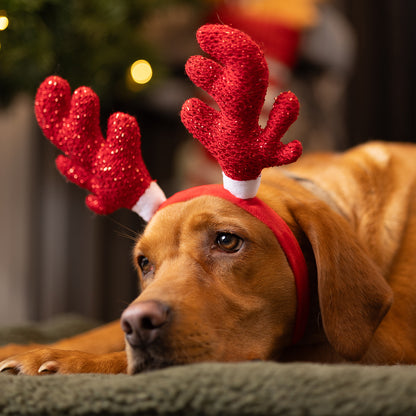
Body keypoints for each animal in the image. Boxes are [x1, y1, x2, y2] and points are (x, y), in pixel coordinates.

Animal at [0, 141, 416, 376]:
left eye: (227, 241)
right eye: (144, 263)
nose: (136, 324)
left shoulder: (386, 348)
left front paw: (68, 360)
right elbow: (99, 331)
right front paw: (20, 347)